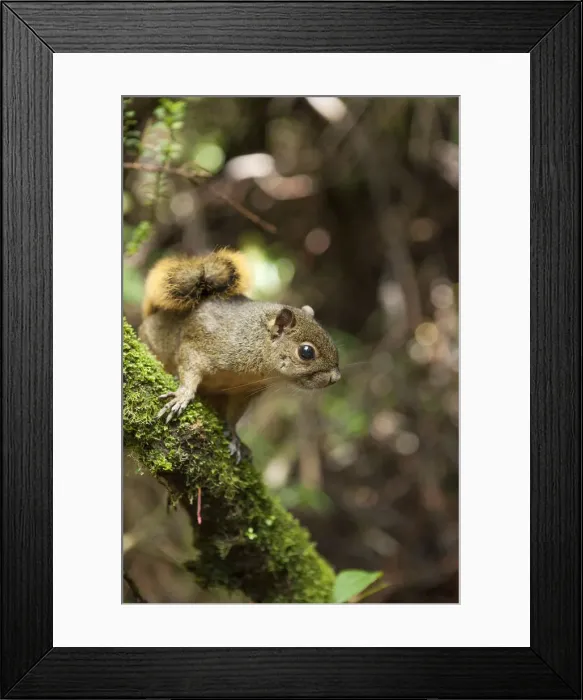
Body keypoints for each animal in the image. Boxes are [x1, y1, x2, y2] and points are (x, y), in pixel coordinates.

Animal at [138, 248, 341, 462]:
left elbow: (234, 416)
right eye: (306, 352)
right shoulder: (199, 345)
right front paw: (183, 394)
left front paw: (235, 437)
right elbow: (189, 367)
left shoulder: (243, 392)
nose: (335, 378)